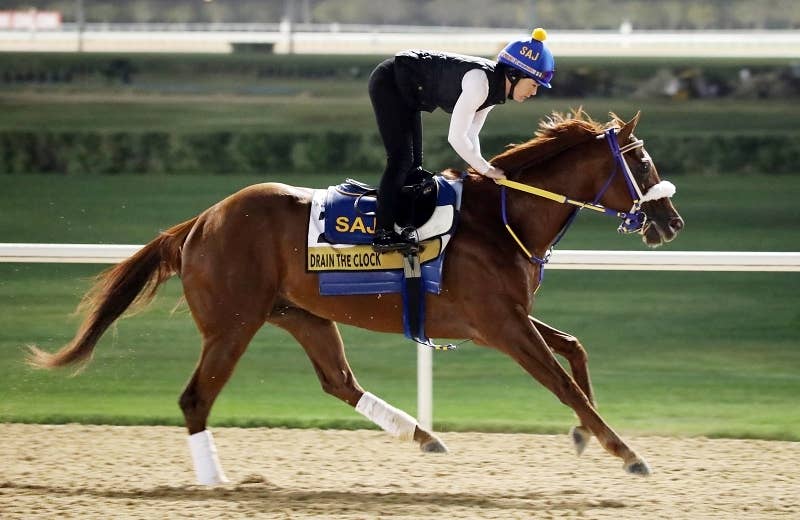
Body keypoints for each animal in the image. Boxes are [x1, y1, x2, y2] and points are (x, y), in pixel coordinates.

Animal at [28, 110, 684, 485]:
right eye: (644, 163)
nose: (671, 221)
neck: (501, 219)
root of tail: (199, 222)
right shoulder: (500, 325)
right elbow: (563, 381)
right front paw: (625, 451)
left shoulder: (506, 318)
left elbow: (574, 349)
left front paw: (584, 436)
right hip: (232, 324)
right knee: (196, 399)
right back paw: (215, 482)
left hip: (301, 315)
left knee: (338, 381)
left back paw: (425, 437)